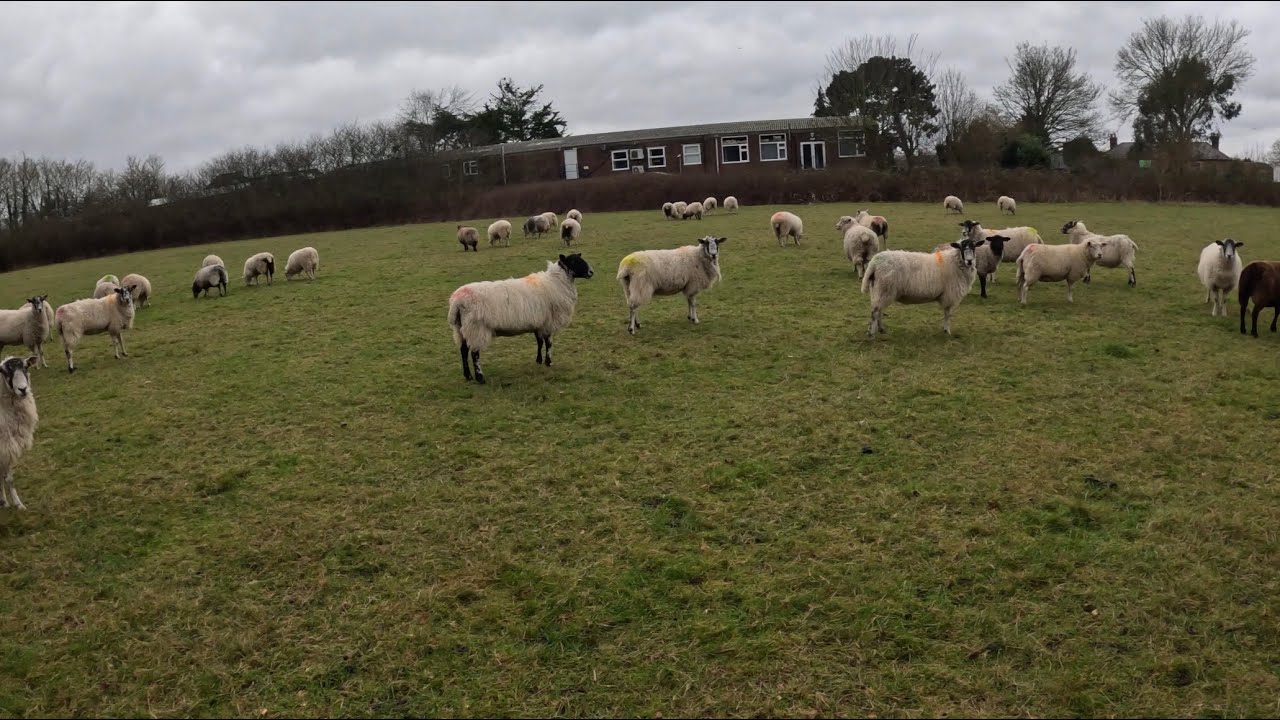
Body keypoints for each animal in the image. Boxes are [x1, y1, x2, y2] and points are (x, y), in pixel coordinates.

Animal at [0, 355, 40, 511]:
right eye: (4, 372)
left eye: (26, 366)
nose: (23, 389)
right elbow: (8, 478)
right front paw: (16, 504)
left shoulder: (7, 448)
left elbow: (7, 477)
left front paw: (8, 502)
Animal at [447, 253, 595, 384]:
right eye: (574, 261)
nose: (591, 272)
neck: (556, 282)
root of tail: (457, 301)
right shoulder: (548, 322)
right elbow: (548, 343)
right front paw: (548, 362)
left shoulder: (538, 323)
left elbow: (539, 342)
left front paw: (538, 361)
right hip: (476, 328)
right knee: (474, 353)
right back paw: (480, 378)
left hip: (461, 328)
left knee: (463, 350)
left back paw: (468, 376)